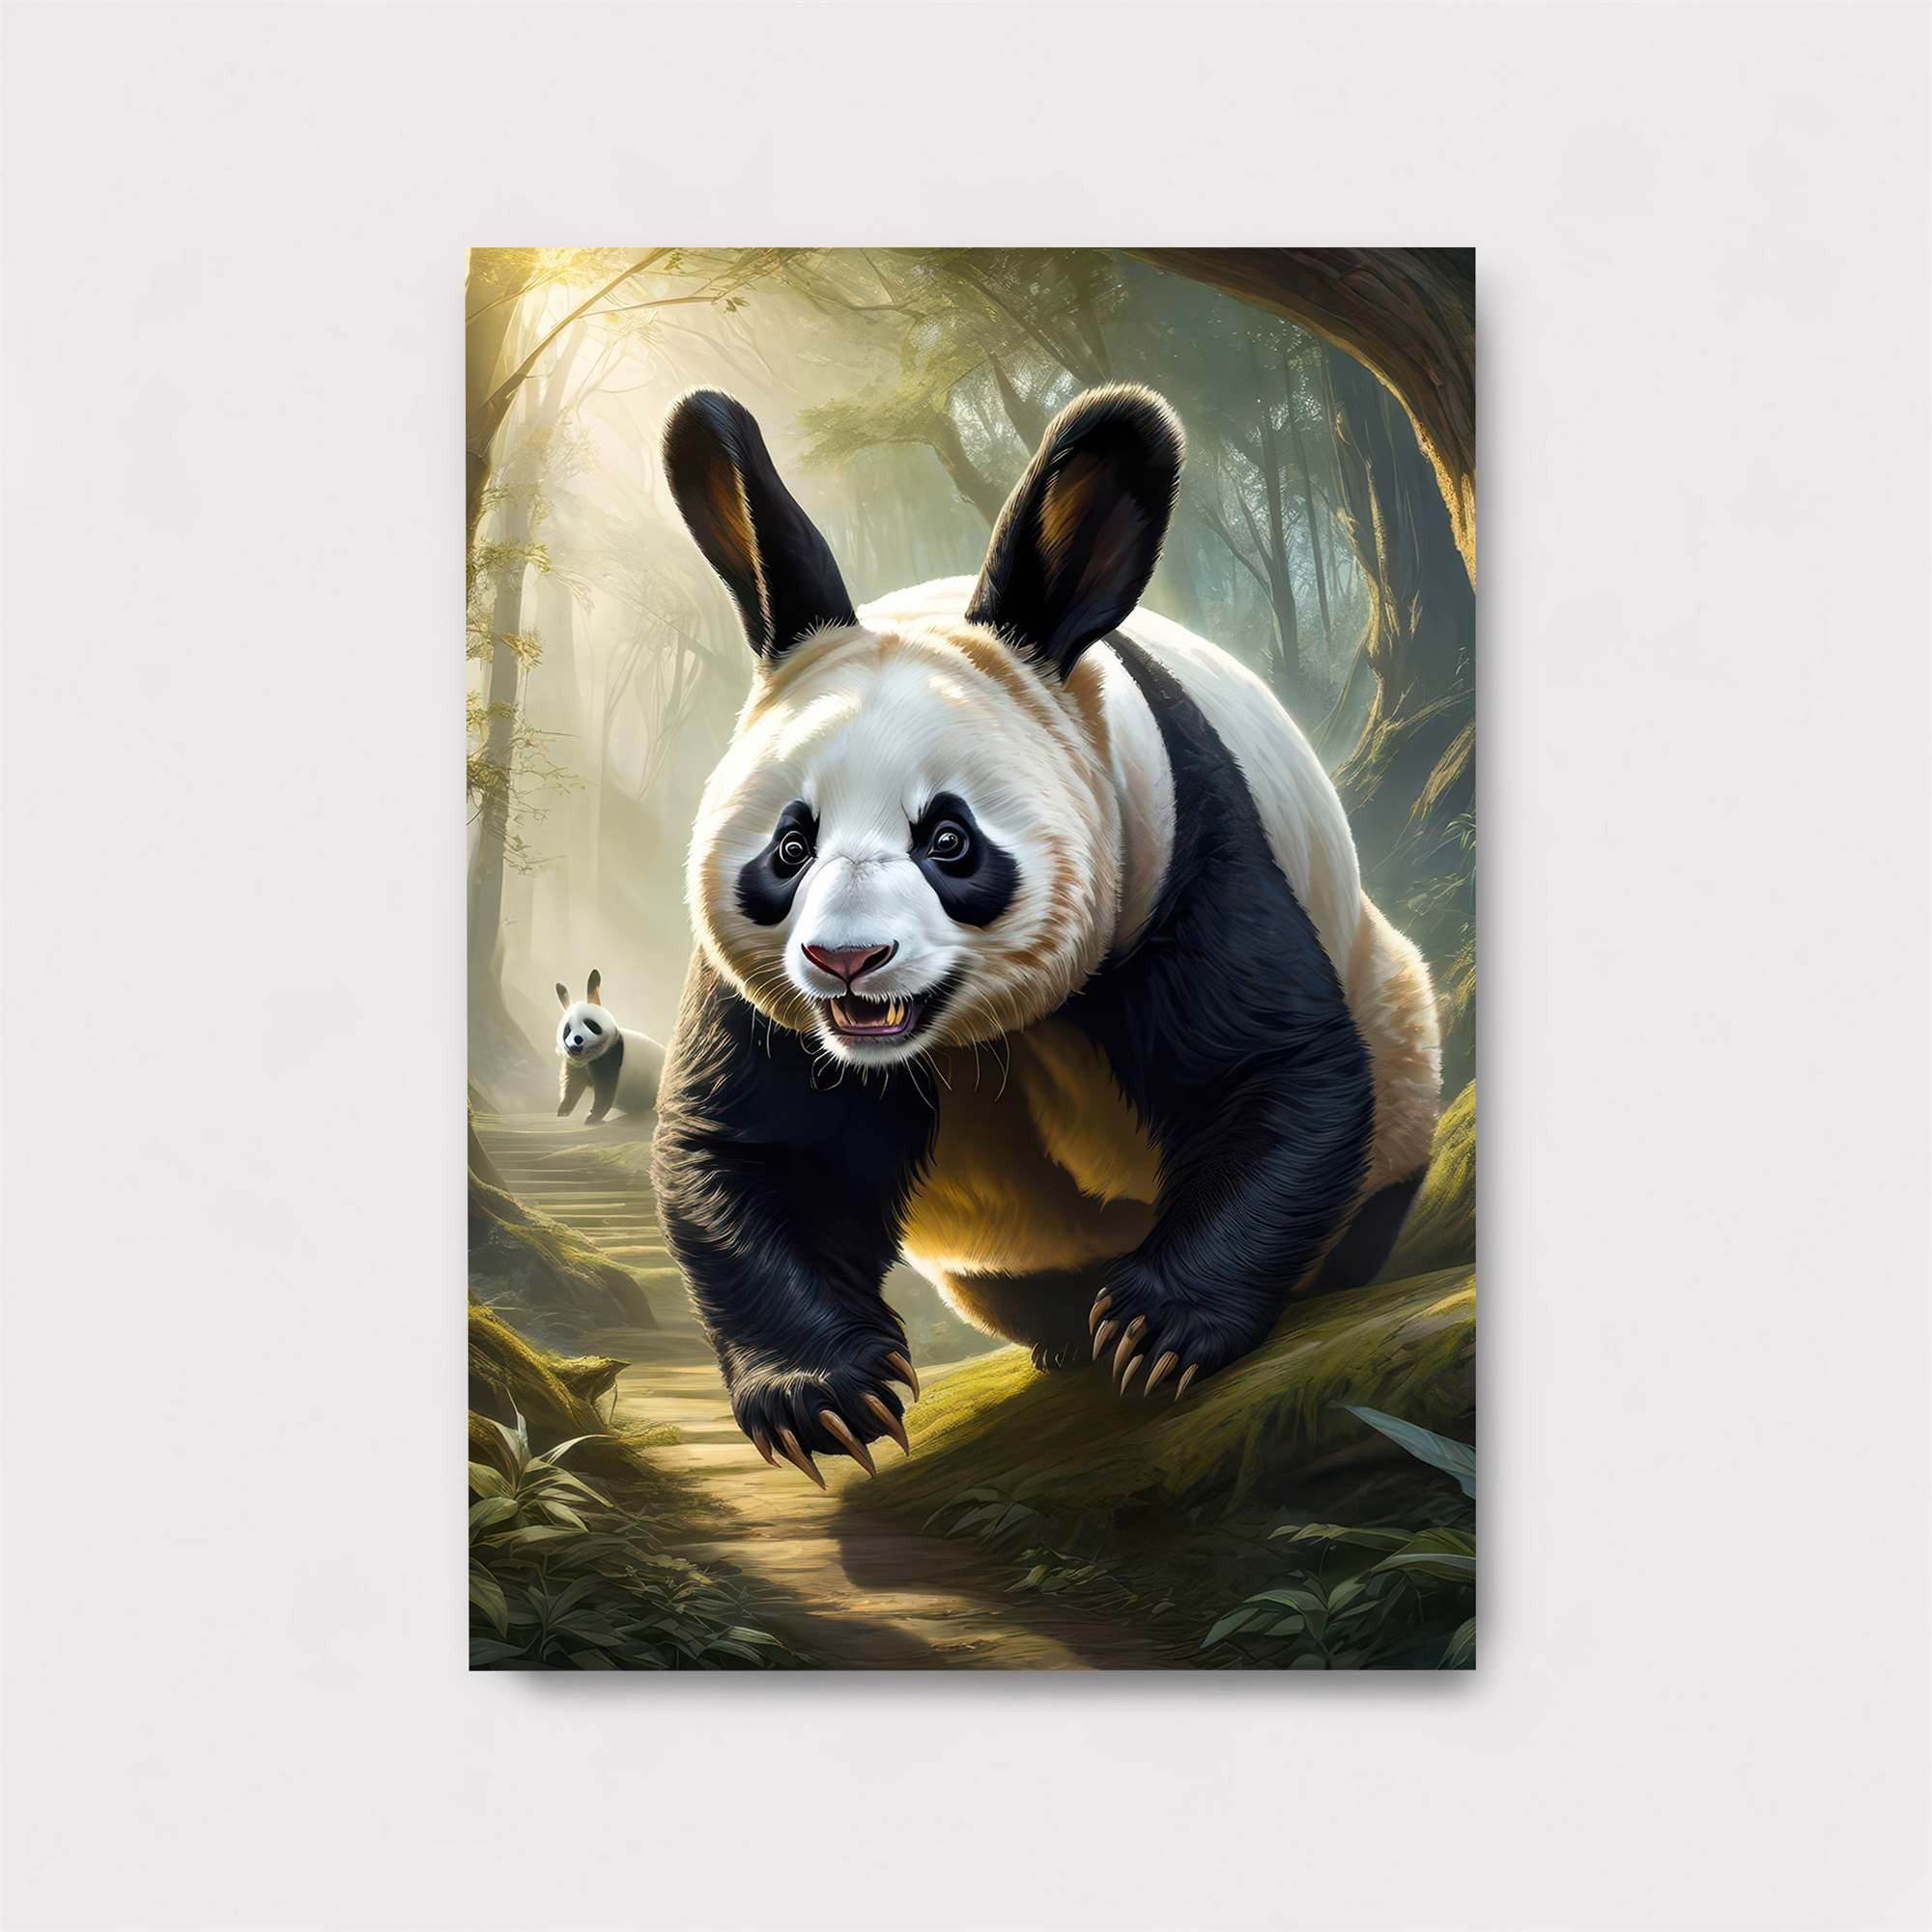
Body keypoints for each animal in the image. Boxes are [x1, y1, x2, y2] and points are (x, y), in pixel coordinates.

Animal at [554, 970, 666, 1124]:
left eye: (590, 1024)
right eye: (567, 1030)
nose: (577, 1041)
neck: (589, 1057)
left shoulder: (611, 1055)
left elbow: (605, 1089)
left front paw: (592, 1117)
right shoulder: (575, 1063)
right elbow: (572, 1084)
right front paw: (563, 1110)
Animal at [651, 383, 1441, 1485]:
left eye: (948, 839)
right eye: (789, 847)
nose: (847, 961)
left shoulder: (1173, 852)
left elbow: (1270, 1068)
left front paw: (1159, 1329)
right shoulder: (762, 1000)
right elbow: (761, 1145)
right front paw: (826, 1396)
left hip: (1392, 1004)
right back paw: (1064, 1324)